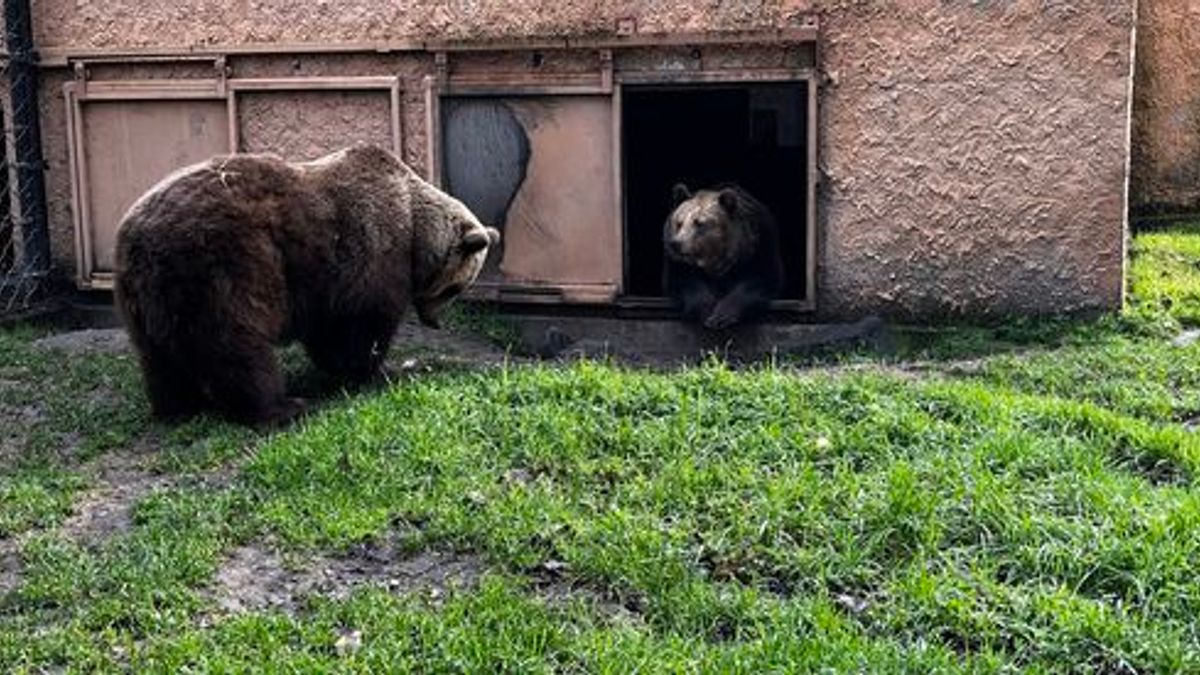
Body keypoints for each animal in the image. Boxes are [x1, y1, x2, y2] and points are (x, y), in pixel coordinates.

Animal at [114, 144, 499, 422]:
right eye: (455, 288)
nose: (434, 322)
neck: (416, 232)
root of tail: (137, 239)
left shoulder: (325, 284)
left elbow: (328, 333)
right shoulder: (370, 254)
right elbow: (361, 327)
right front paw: (378, 370)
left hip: (148, 297)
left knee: (160, 358)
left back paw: (178, 406)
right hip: (224, 264)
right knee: (236, 343)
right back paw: (281, 406)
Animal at [662, 181, 782, 329]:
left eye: (699, 223)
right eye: (679, 223)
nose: (677, 243)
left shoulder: (760, 245)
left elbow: (762, 278)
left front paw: (722, 316)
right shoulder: (678, 262)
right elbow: (685, 281)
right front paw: (706, 311)